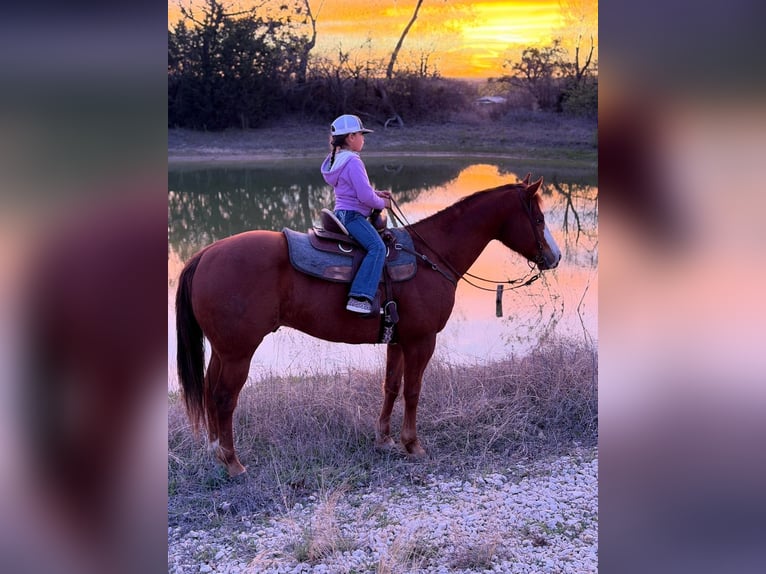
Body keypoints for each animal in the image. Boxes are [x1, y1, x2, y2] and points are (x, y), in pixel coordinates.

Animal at [175, 174, 561, 477]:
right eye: (539, 218)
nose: (554, 257)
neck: (431, 255)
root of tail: (205, 254)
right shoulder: (422, 341)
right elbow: (413, 390)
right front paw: (412, 445)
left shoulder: (398, 340)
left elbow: (390, 386)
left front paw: (384, 439)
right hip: (239, 353)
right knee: (225, 398)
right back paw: (233, 463)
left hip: (223, 351)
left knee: (210, 391)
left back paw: (216, 452)